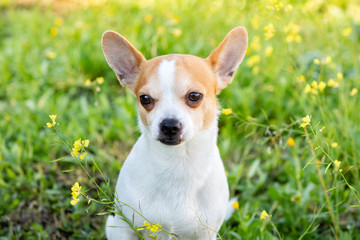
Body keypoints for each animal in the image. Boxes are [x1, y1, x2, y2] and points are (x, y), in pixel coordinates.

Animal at [101, 25, 248, 239]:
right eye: (145, 99)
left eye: (194, 96)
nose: (169, 125)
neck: (178, 163)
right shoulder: (122, 227)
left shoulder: (206, 233)